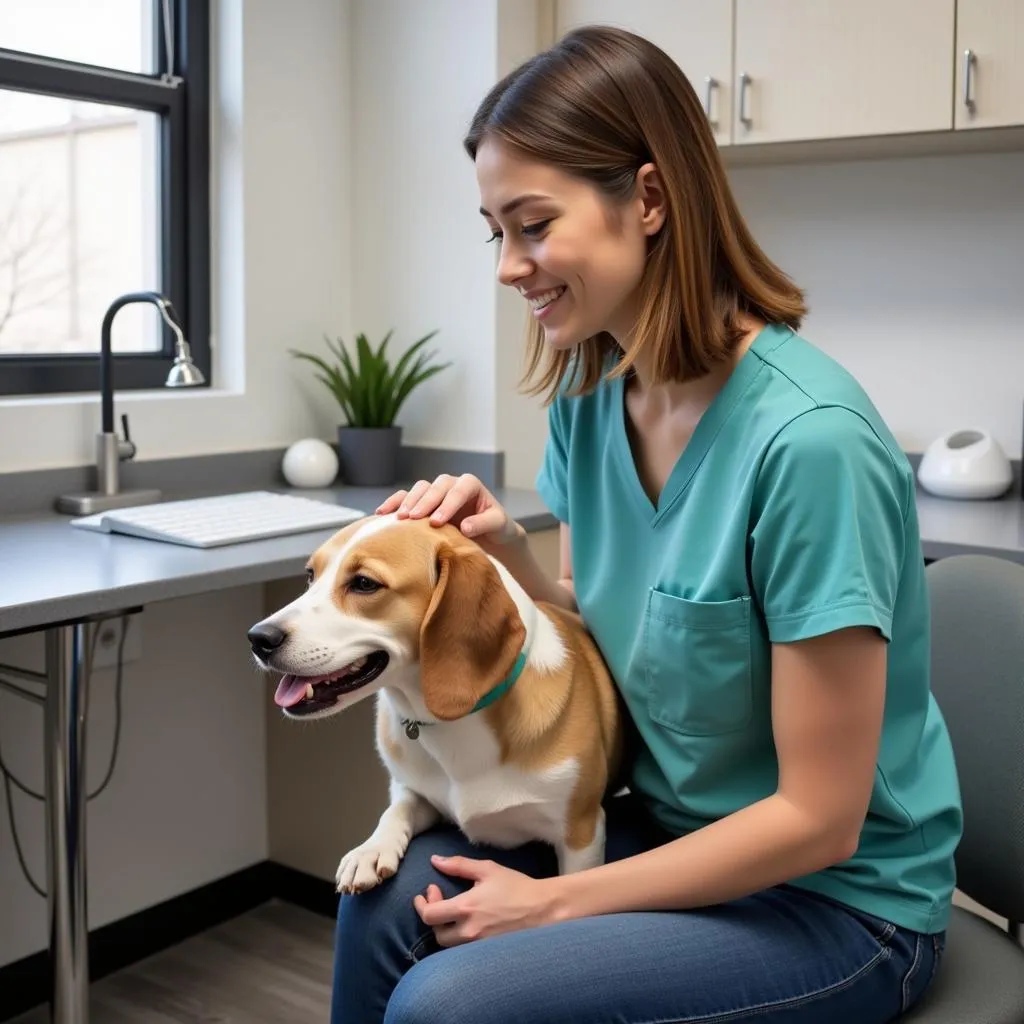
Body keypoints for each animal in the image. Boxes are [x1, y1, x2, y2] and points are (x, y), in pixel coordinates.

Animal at [245, 516, 622, 892]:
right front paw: (371, 850)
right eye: (310, 576)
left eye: (364, 583)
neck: (457, 724)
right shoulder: (412, 790)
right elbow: (397, 807)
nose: (258, 638)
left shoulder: (581, 834)